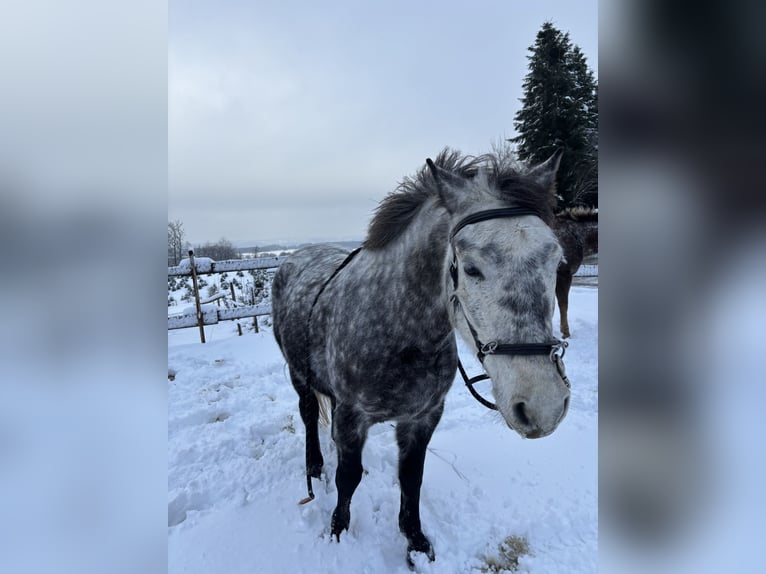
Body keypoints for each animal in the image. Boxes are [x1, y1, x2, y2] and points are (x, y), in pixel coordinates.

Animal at [271, 148, 571, 565]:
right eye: (471, 269)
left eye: (556, 262)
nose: (543, 405)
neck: (397, 326)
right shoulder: (351, 415)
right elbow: (348, 477)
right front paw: (337, 532)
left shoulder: (424, 416)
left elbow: (411, 478)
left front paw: (415, 541)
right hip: (298, 375)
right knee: (309, 414)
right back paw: (314, 467)